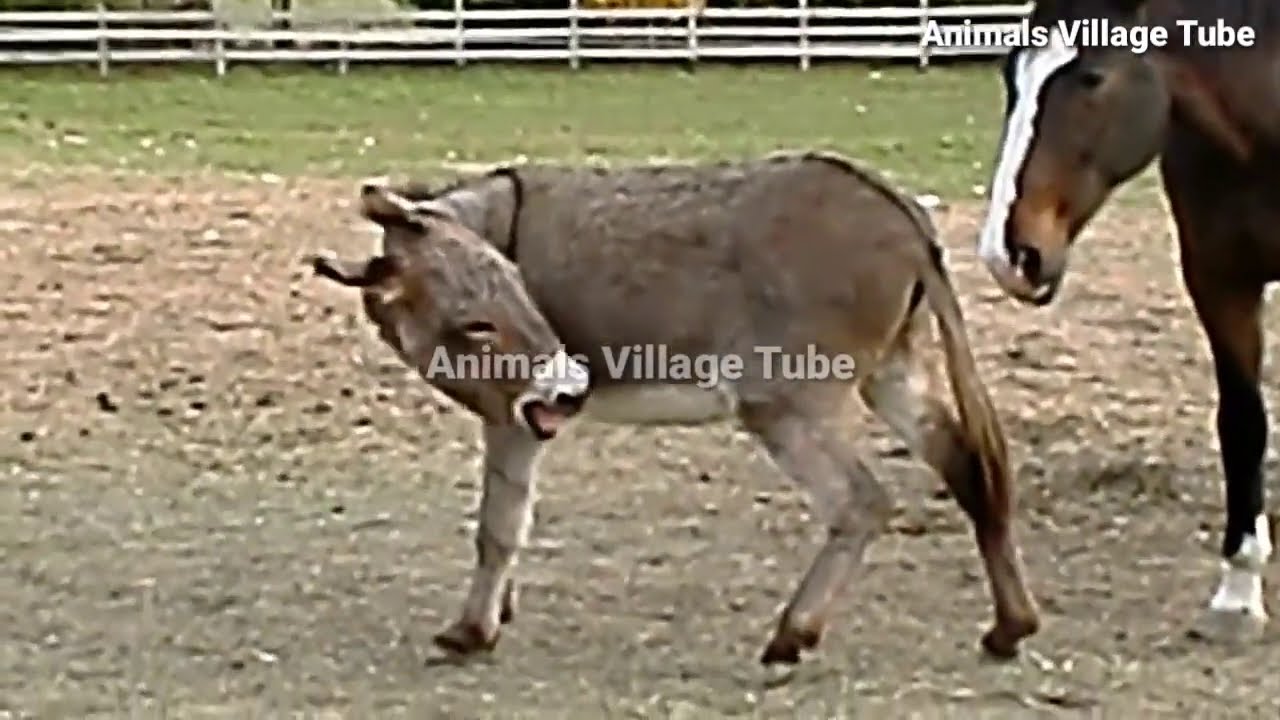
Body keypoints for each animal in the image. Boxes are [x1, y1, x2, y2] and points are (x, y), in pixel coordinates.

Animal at [974, 0, 1279, 642]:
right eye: (1011, 71)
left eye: (1092, 77)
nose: (1008, 254)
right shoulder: (1219, 284)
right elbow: (1243, 422)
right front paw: (1238, 594)